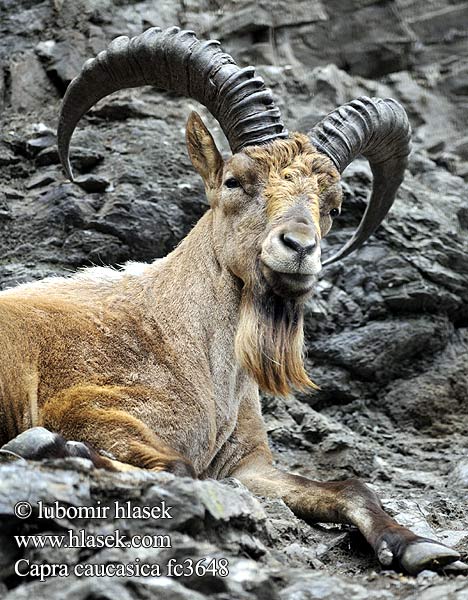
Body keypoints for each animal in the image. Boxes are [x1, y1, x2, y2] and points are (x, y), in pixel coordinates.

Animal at [0, 25, 460, 576]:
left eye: (333, 207)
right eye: (234, 180)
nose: (299, 247)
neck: (189, 351)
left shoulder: (246, 465)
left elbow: (350, 486)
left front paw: (417, 544)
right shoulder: (86, 406)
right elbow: (177, 467)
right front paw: (47, 446)